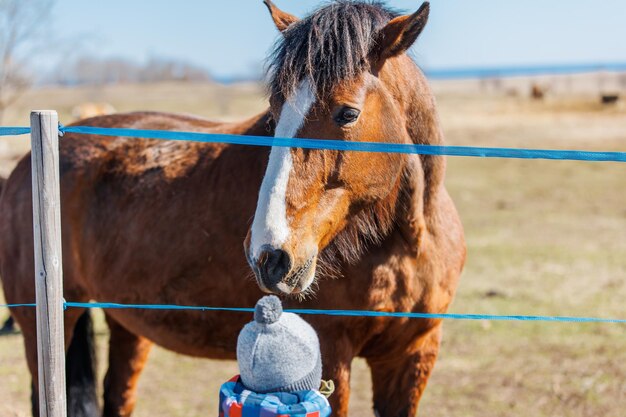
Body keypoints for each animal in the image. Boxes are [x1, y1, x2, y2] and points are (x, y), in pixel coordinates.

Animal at [1, 1, 464, 414]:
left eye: (347, 113)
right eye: (274, 113)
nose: (269, 255)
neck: (404, 244)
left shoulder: (412, 357)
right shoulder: (332, 356)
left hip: (127, 323)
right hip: (45, 330)